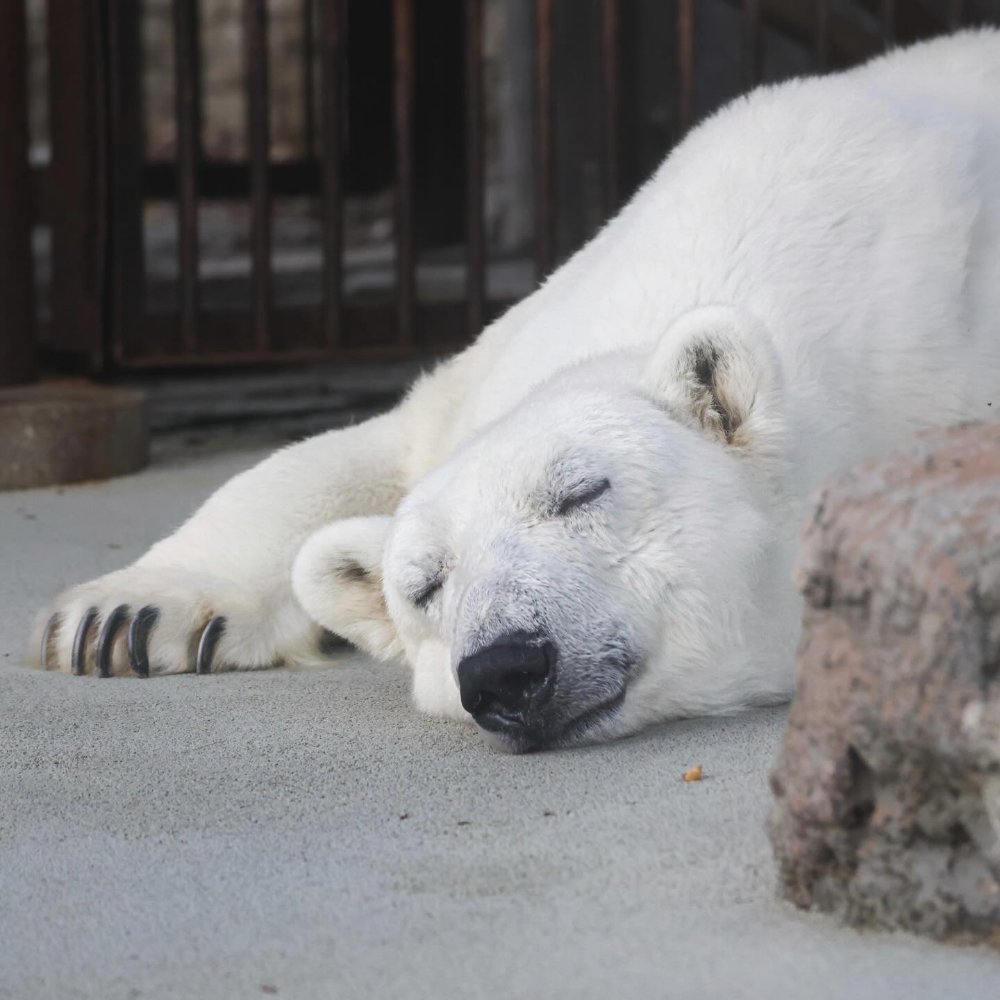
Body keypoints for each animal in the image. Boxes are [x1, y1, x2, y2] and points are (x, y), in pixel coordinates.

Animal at [31, 30, 1000, 752]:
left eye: (582, 491)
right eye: (422, 584)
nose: (505, 667)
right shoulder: (478, 375)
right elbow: (341, 458)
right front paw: (118, 620)